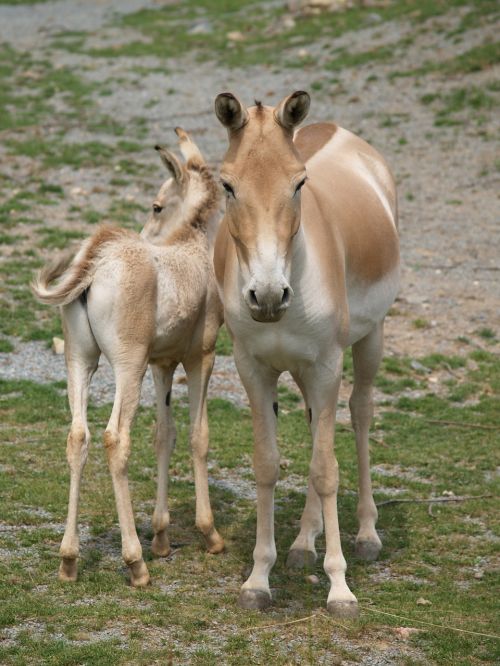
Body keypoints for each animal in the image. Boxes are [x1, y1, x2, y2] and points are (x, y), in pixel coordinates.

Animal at [32, 130, 224, 588]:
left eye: (157, 205)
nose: (145, 229)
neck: (192, 245)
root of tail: (98, 258)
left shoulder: (162, 365)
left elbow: (164, 435)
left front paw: (163, 538)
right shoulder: (201, 358)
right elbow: (198, 435)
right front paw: (209, 534)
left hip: (80, 361)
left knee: (77, 436)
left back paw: (69, 559)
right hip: (126, 367)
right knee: (115, 438)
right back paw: (135, 563)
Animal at [213, 91, 400, 616]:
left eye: (298, 183)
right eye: (227, 185)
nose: (268, 296)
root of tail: (341, 131)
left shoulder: (327, 365)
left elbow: (325, 470)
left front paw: (340, 587)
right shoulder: (253, 368)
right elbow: (267, 463)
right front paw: (258, 579)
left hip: (367, 342)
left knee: (359, 414)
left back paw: (366, 535)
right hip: (302, 370)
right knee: (318, 424)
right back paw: (302, 544)